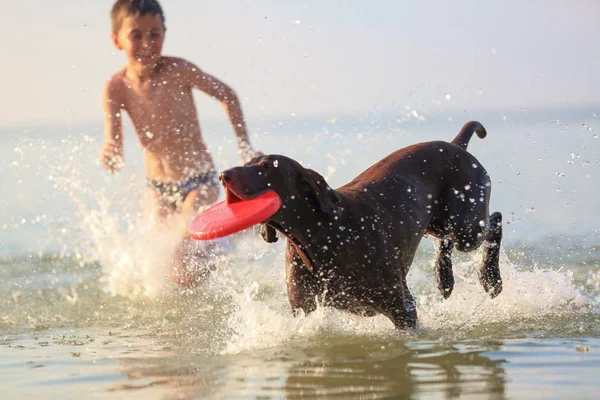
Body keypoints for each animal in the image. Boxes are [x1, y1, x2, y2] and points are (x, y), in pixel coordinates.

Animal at [220, 121, 502, 328]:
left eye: (267, 166)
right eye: (247, 164)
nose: (224, 175)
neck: (320, 236)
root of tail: (457, 145)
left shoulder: (403, 309)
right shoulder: (304, 309)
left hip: (467, 226)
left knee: (495, 221)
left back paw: (491, 279)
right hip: (438, 223)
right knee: (446, 241)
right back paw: (444, 278)